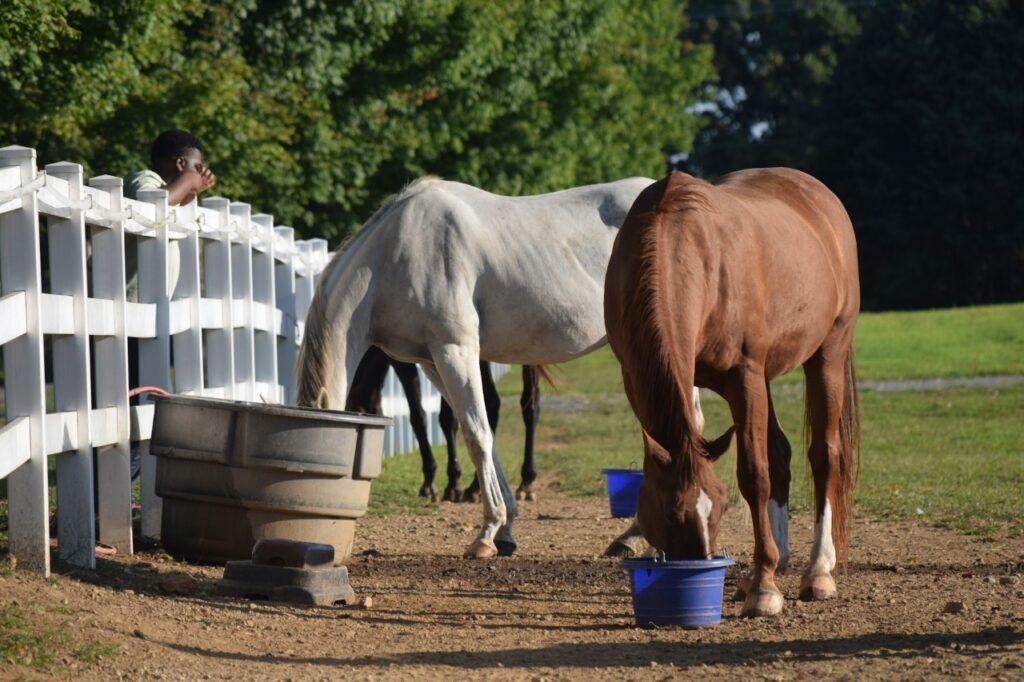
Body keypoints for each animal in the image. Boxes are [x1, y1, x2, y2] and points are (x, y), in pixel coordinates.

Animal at [346, 347, 543, 503]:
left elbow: (423, 416)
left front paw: (439, 483)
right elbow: (444, 417)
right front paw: (449, 482)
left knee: (496, 404)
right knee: (528, 406)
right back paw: (522, 481)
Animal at [604, 168, 860, 618]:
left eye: (721, 506)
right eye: (670, 514)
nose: (696, 564)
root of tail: (819, 196)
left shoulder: (744, 377)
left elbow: (754, 475)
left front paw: (764, 590)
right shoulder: (639, 376)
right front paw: (762, 572)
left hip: (827, 351)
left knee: (824, 456)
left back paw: (818, 571)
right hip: (769, 375)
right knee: (781, 452)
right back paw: (781, 557)